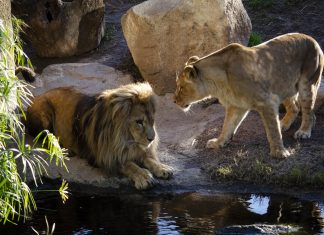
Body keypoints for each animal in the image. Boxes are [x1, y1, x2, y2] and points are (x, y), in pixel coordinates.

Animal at [26, 82, 172, 189]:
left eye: (152, 121)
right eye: (139, 122)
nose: (152, 139)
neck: (125, 140)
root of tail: (35, 97)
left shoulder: (135, 149)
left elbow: (147, 158)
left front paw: (162, 168)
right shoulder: (101, 157)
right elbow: (128, 165)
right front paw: (144, 177)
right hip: (45, 113)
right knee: (45, 138)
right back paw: (65, 150)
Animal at [175, 32, 324, 158]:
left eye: (181, 87)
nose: (174, 100)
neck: (218, 84)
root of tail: (312, 39)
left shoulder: (267, 101)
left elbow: (272, 129)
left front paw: (279, 152)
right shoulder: (236, 105)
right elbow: (227, 126)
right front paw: (218, 142)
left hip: (307, 83)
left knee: (308, 110)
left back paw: (303, 131)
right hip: (284, 85)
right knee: (296, 108)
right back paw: (284, 124)